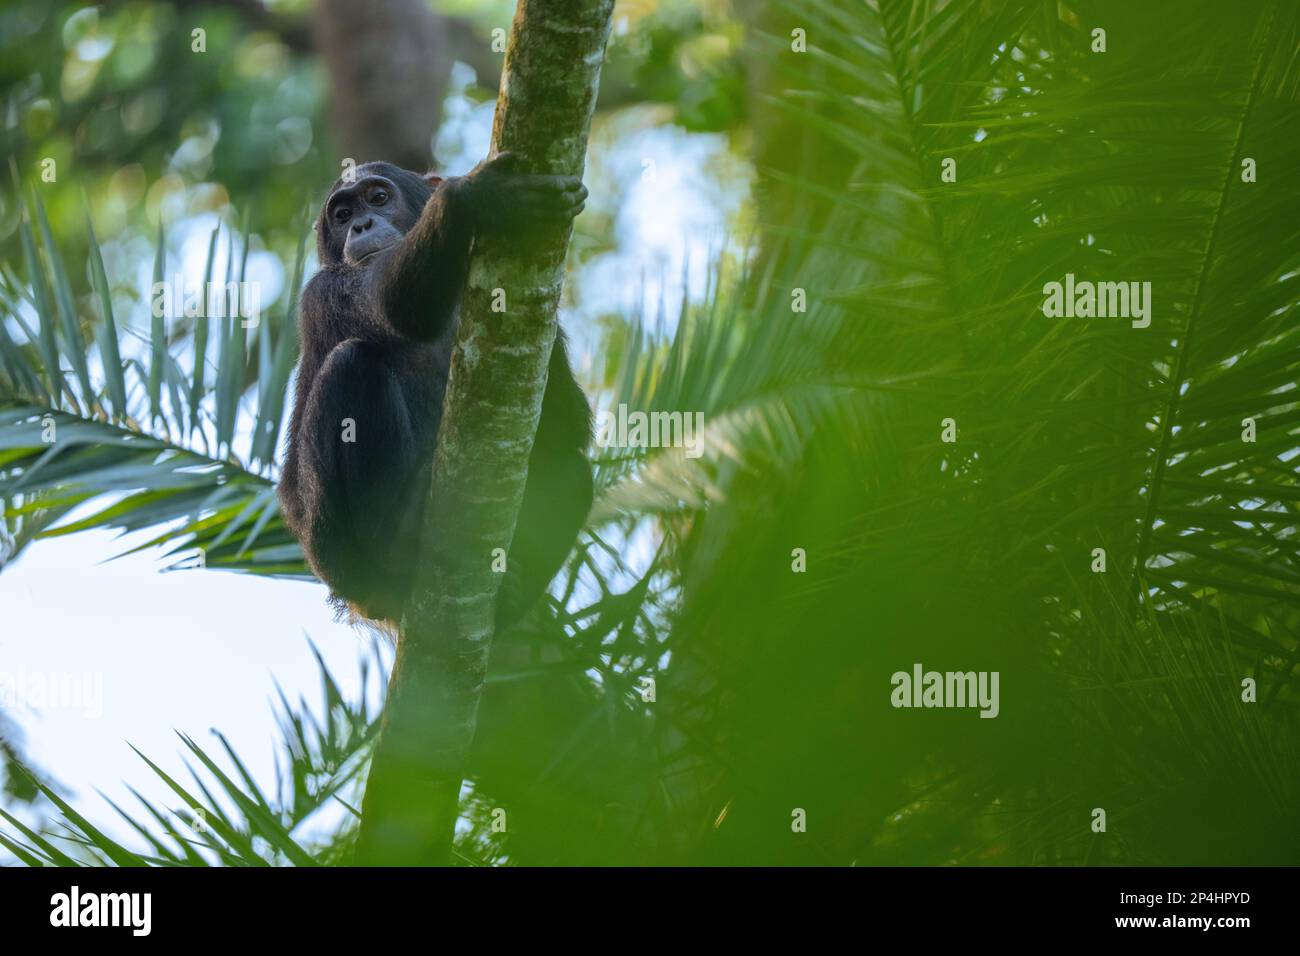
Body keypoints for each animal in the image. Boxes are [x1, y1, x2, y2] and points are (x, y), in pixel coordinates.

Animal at [282, 151, 595, 629]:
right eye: (342, 214)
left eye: (378, 197)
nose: (362, 225)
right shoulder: (328, 291)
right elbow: (393, 304)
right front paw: (478, 195)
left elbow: (568, 423)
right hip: (334, 554)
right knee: (352, 364)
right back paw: (396, 551)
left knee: (572, 469)